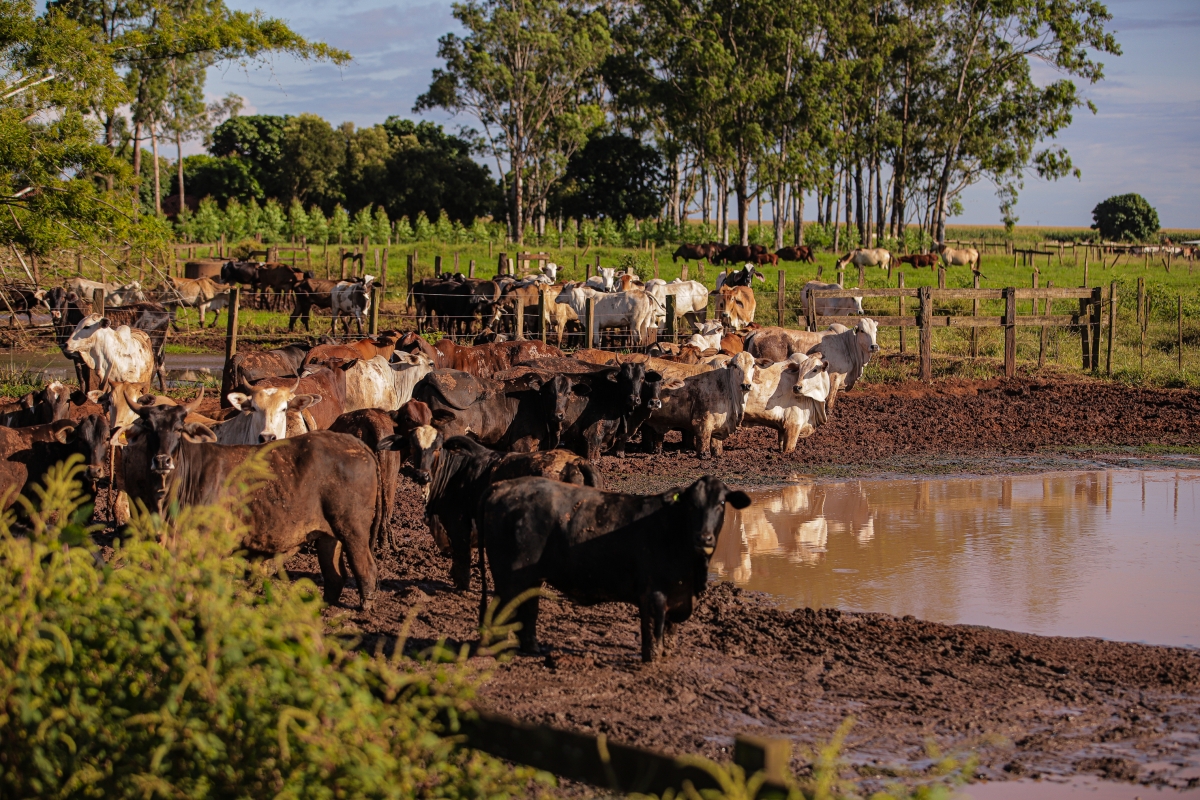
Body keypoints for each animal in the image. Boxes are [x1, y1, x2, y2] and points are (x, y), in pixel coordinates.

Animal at [121, 403, 381, 608]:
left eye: (178, 428)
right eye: (149, 429)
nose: (162, 460)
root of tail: (358, 445)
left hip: (352, 528)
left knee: (365, 566)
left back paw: (365, 604)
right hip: (329, 536)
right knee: (334, 577)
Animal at [477, 475, 751, 661]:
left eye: (721, 503)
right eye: (692, 505)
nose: (703, 537)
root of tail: (502, 486)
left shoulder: (679, 597)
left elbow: (669, 636)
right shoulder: (652, 595)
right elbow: (653, 637)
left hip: (530, 577)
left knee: (528, 610)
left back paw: (532, 648)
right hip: (509, 578)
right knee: (500, 610)